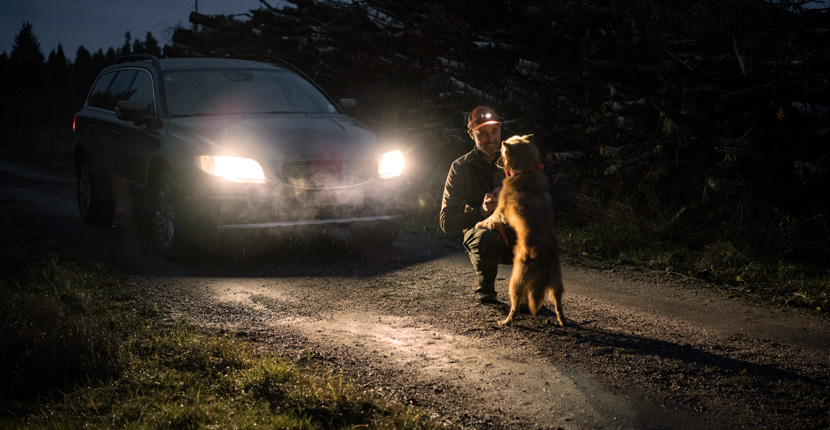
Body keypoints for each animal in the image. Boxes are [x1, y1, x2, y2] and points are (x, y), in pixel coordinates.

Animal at [474, 134, 564, 326]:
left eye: (502, 152)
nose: (497, 162)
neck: (526, 171)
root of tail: (542, 259)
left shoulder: (500, 208)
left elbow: (491, 218)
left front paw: (480, 223)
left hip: (515, 281)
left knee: (514, 307)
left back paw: (505, 321)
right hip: (556, 283)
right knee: (558, 304)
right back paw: (562, 321)